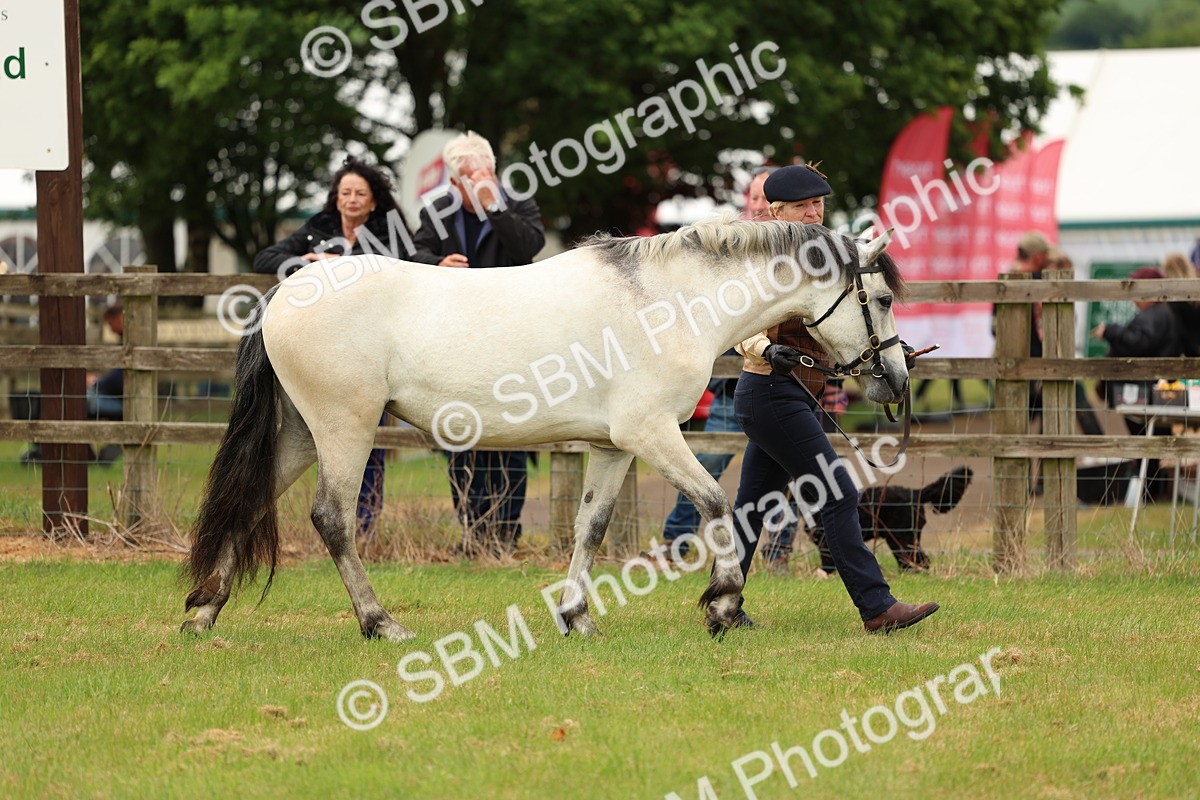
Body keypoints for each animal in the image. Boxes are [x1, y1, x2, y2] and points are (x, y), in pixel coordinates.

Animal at [180, 215, 909, 640]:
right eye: (883, 298)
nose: (897, 382)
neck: (669, 301)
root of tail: (285, 292)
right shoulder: (652, 435)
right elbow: (714, 505)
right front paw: (723, 605)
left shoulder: (613, 448)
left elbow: (591, 526)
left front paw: (576, 617)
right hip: (345, 430)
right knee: (332, 520)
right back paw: (380, 623)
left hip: (302, 434)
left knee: (249, 503)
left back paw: (204, 611)